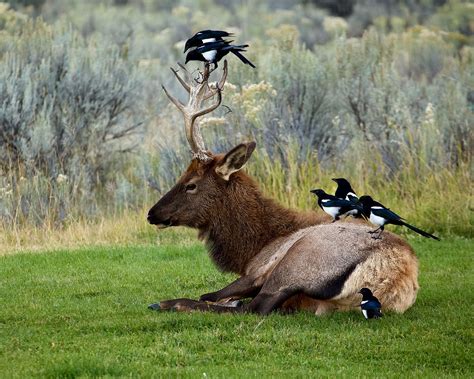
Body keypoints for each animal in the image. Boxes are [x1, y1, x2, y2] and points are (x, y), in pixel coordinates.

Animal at [148, 62, 418, 316]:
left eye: (190, 184)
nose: (152, 214)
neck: (252, 247)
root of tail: (393, 275)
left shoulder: (257, 269)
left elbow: (210, 295)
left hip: (296, 262)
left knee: (254, 307)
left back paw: (167, 303)